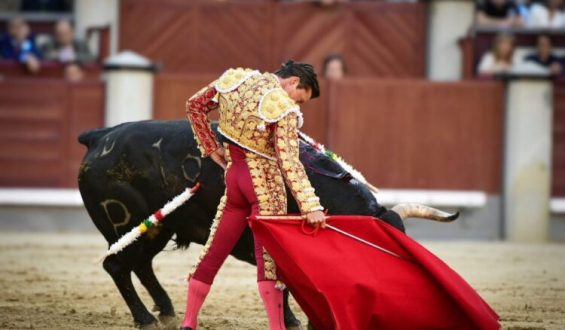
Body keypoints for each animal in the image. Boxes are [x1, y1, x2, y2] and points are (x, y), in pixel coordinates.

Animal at [77, 120, 398, 328]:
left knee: (141, 265)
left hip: (157, 229)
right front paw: (293, 321)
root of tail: (100, 136)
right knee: (117, 266)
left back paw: (166, 311)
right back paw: (145, 319)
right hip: (127, 225)